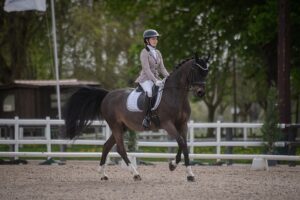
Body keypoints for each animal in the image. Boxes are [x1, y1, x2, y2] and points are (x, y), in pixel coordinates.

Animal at [63, 53, 209, 181]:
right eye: (195, 70)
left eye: (206, 72)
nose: (200, 92)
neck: (176, 95)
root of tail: (107, 95)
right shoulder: (168, 124)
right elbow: (182, 143)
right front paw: (179, 169)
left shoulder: (183, 124)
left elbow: (184, 145)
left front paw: (181, 169)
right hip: (115, 125)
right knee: (121, 149)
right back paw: (135, 174)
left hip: (122, 127)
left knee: (107, 146)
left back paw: (103, 174)